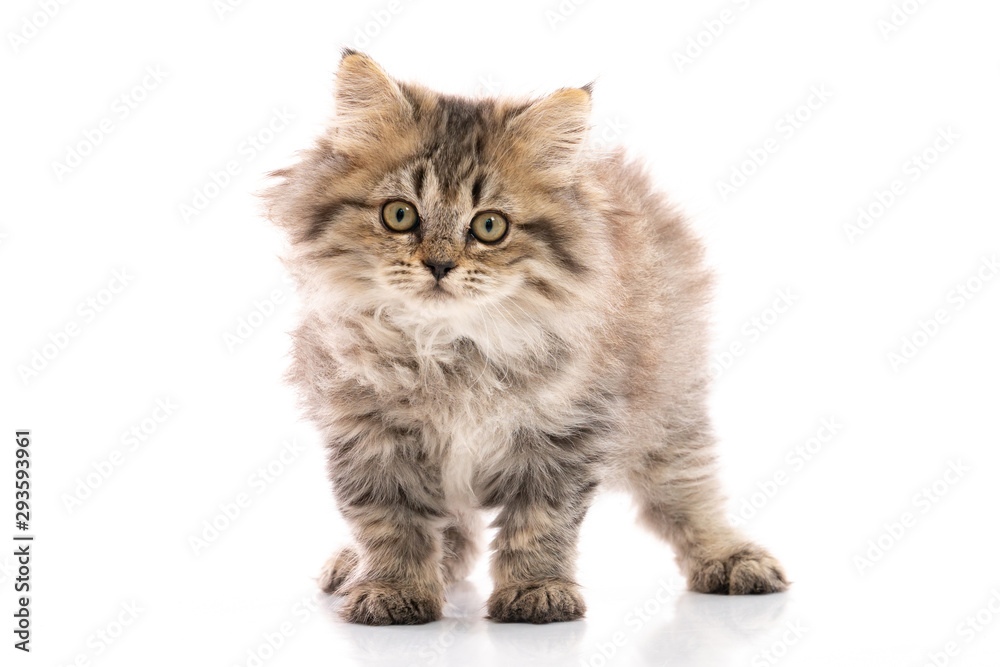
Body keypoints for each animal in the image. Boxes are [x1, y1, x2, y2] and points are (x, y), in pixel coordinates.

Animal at [264, 51, 788, 628]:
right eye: (399, 215)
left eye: (489, 226)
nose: (440, 265)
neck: (449, 349)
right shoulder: (368, 433)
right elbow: (392, 524)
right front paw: (392, 588)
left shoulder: (564, 433)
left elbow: (542, 523)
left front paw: (537, 591)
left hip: (669, 410)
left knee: (690, 492)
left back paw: (730, 557)